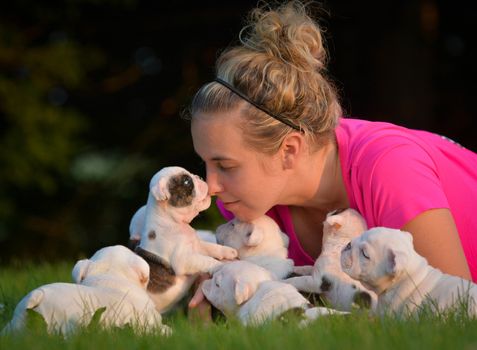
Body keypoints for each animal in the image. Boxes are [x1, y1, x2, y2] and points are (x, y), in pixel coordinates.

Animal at [134, 165, 238, 314]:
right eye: (187, 182)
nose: (200, 177)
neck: (174, 222)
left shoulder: (197, 245)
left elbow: (210, 247)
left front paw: (228, 251)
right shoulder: (184, 259)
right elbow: (205, 260)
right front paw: (220, 265)